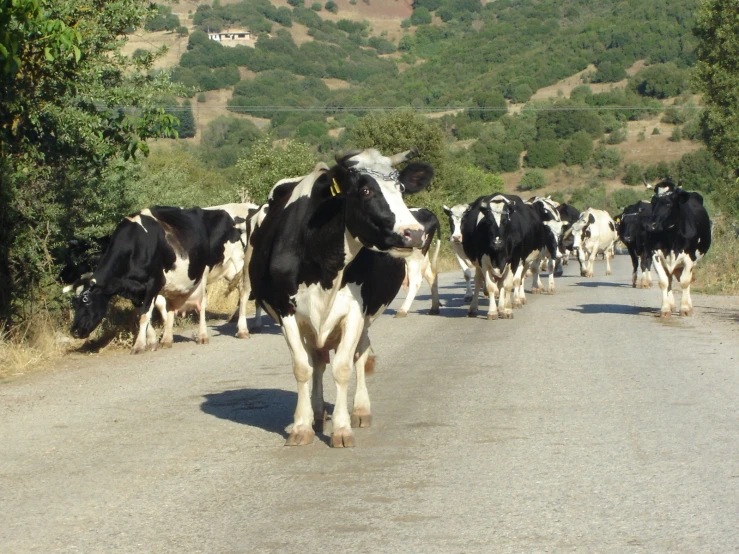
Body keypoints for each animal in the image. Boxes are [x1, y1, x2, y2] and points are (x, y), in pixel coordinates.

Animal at [71, 205, 253, 352]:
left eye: (87, 300)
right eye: (74, 302)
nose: (74, 331)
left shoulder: (154, 281)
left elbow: (145, 315)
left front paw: (139, 345)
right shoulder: (136, 290)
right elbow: (147, 312)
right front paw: (153, 340)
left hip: (234, 263)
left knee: (234, 294)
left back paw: (232, 331)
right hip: (223, 271)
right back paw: (168, 339)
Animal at [648, 182, 712, 314]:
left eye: (668, 203)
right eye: (653, 202)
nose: (651, 225)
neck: (671, 239)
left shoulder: (689, 257)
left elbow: (685, 282)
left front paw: (685, 308)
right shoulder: (656, 255)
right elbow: (664, 282)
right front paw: (665, 308)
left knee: (687, 279)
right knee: (670, 279)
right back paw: (671, 304)